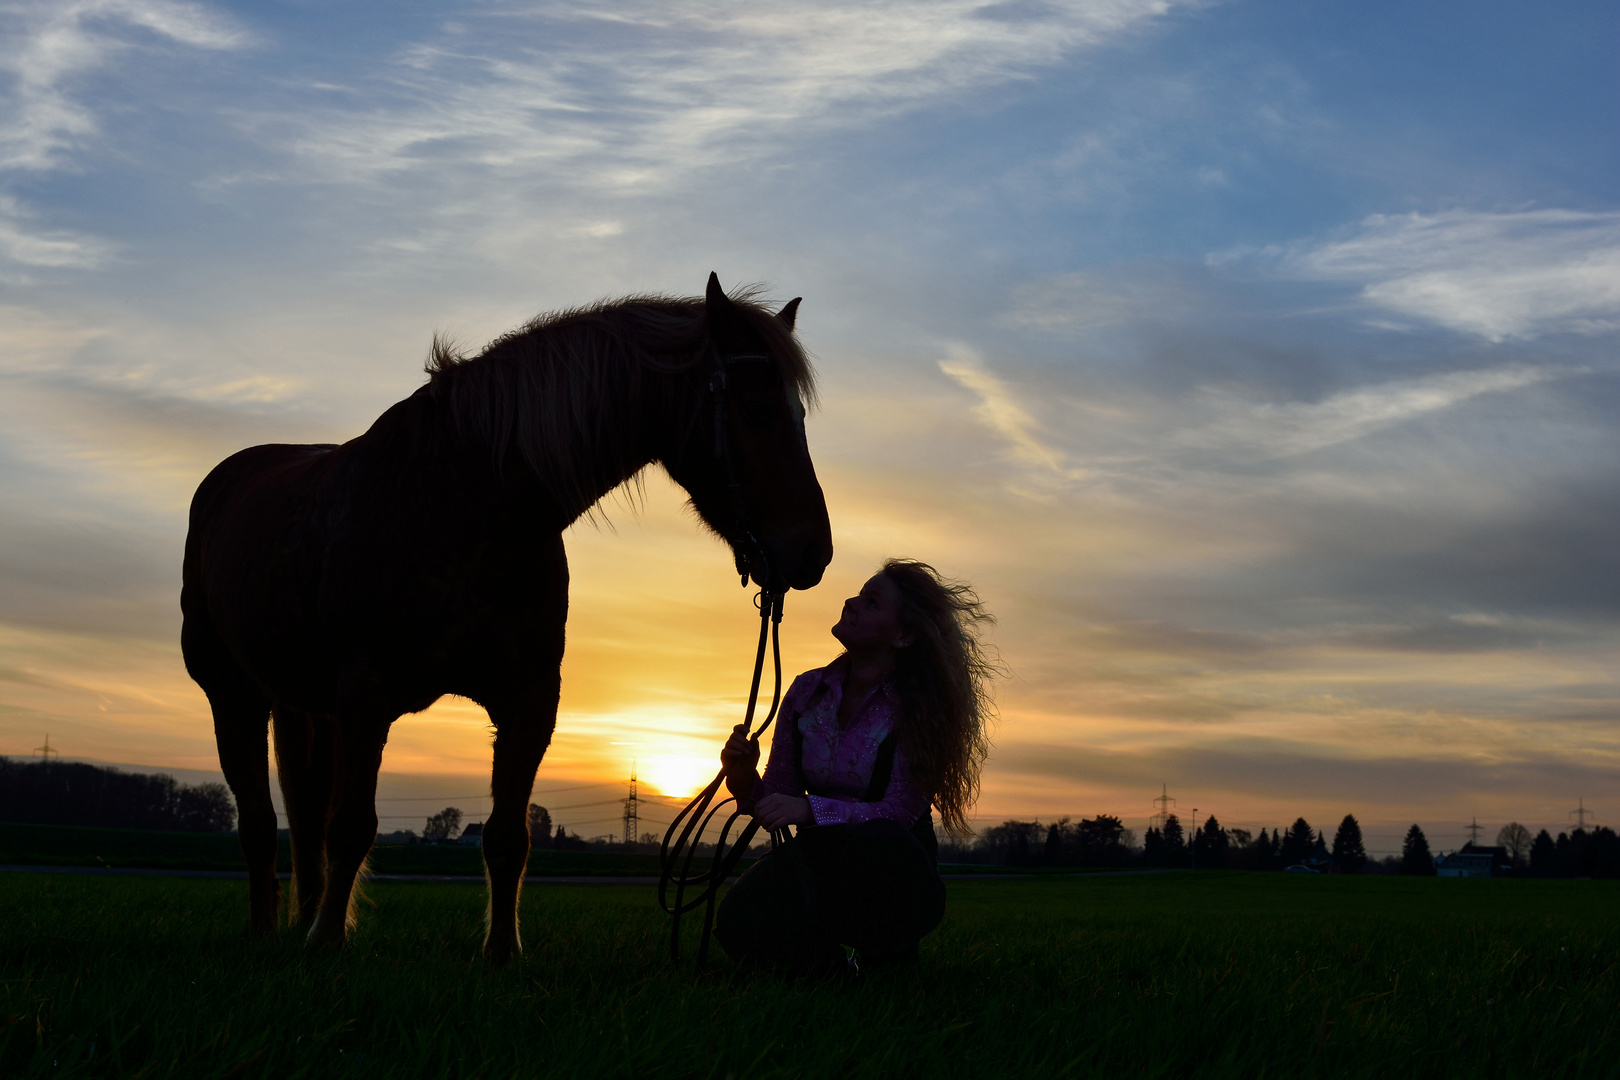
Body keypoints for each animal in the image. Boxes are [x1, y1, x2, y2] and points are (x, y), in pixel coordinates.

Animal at [182, 272, 829, 965]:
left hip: (312, 710)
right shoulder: (365, 693)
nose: (813, 552)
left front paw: (502, 953)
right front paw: (329, 942)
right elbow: (352, 826)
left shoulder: (529, 699)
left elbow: (507, 837)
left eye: (799, 416)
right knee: (260, 821)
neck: (471, 504)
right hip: (235, 695)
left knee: (302, 818)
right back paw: (270, 930)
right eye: (758, 412)